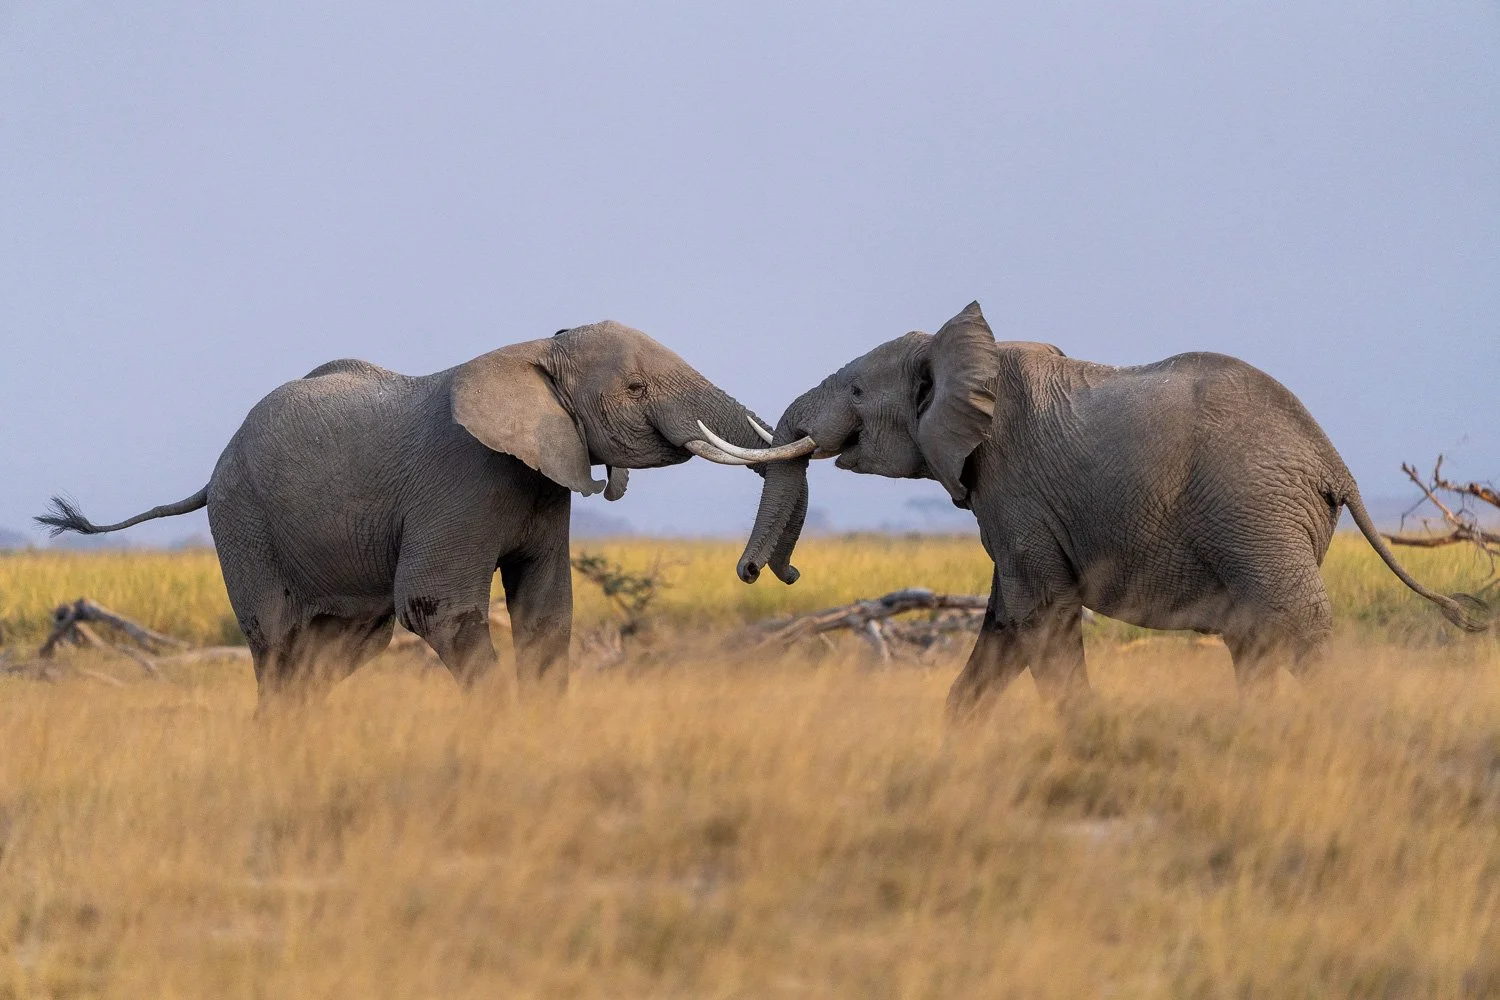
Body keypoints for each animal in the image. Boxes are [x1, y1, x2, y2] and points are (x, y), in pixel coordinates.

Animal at [39, 321, 777, 704]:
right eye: (636, 388)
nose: (756, 571)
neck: (538, 347)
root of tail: (212, 470)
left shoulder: (545, 480)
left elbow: (546, 612)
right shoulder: (462, 480)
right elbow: (435, 607)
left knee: (335, 649)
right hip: (243, 520)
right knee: (276, 644)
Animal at [721, 301, 1490, 714]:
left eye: (855, 392)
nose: (765, 575)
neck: (966, 349)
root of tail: (1336, 463)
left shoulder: (1013, 483)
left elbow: (1040, 611)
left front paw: (1088, 734)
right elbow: (1006, 620)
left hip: (1256, 514)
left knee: (1296, 627)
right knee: (1257, 638)